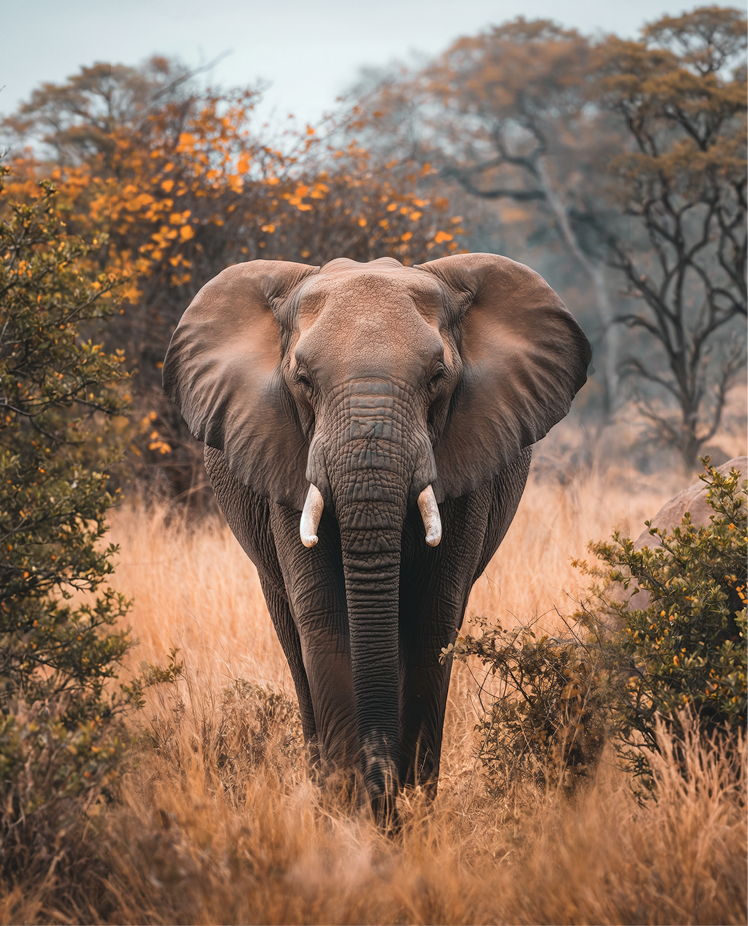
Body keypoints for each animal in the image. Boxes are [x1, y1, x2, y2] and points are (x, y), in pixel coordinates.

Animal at [163, 253, 591, 820]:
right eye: (303, 379)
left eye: (437, 377)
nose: (382, 795)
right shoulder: (286, 461)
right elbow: (323, 618)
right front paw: (353, 818)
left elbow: (433, 617)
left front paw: (409, 815)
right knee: (293, 642)